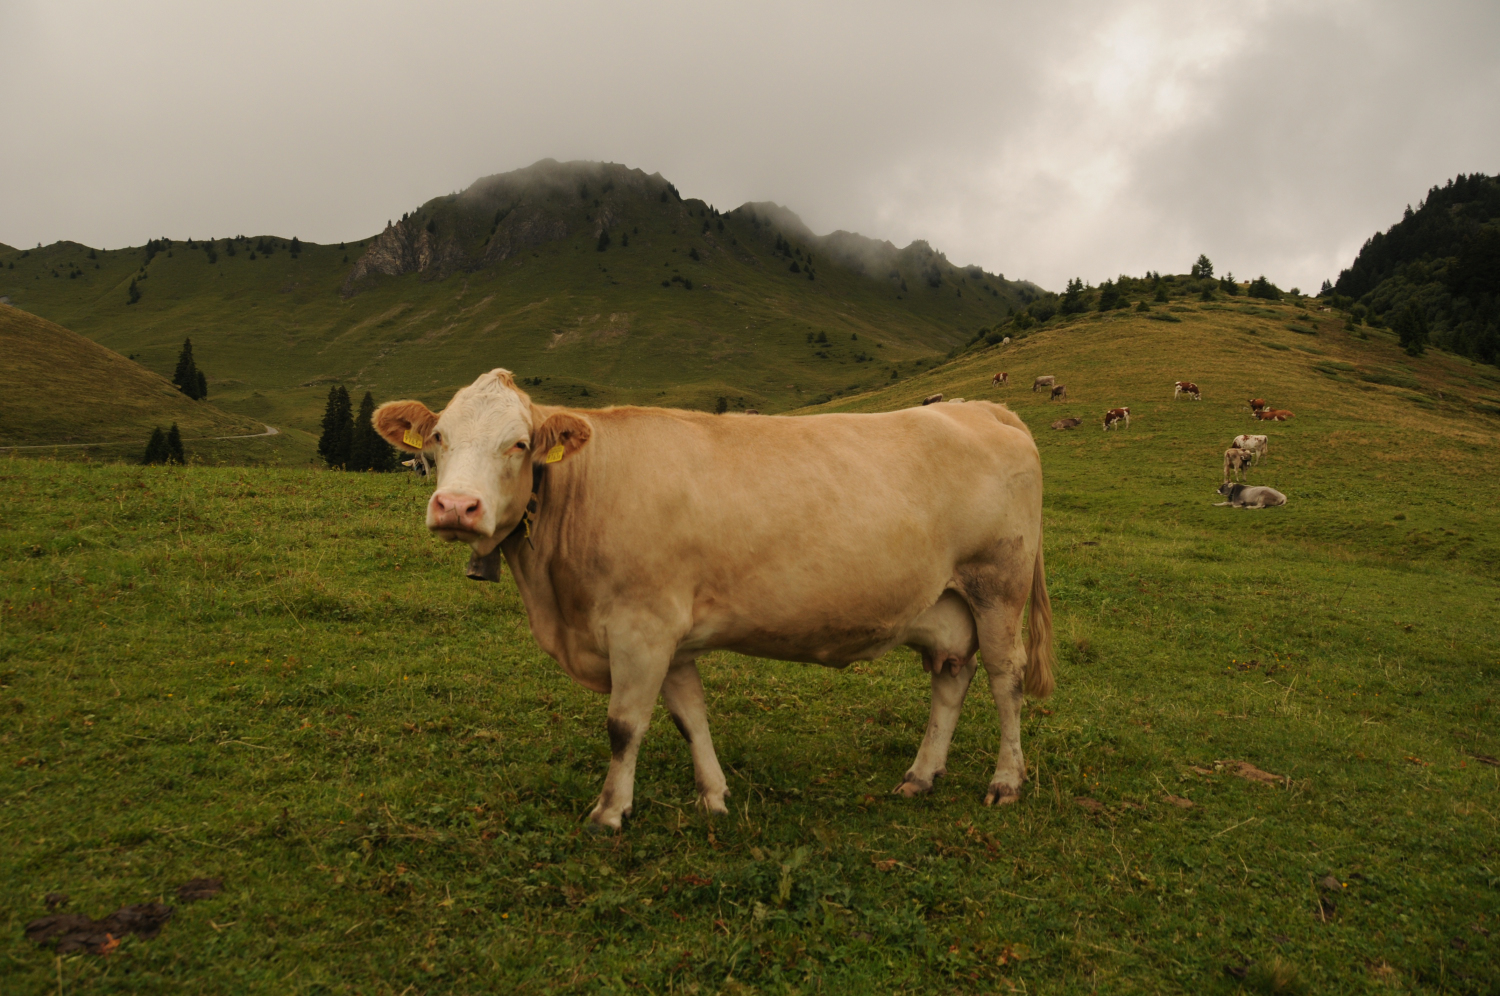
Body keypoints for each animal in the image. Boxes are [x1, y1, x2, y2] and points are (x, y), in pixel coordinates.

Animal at [373, 369, 1054, 830]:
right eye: (438, 437)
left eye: (518, 444)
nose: (456, 507)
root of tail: (985, 409)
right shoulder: (670, 636)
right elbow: (689, 717)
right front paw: (713, 796)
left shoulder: (640, 626)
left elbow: (624, 725)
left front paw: (609, 812)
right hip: (946, 603)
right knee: (951, 675)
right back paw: (920, 775)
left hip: (998, 585)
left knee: (1006, 679)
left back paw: (1005, 781)